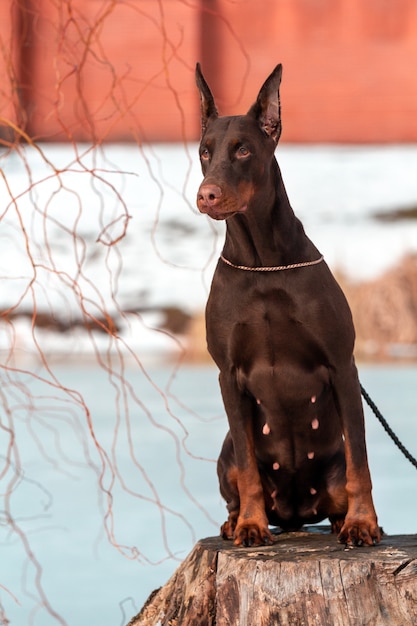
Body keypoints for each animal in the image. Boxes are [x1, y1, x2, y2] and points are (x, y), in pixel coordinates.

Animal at [195, 64, 380, 544]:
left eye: (243, 150)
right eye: (204, 152)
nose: (207, 194)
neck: (263, 263)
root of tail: (297, 513)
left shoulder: (342, 364)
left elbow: (360, 461)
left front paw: (362, 522)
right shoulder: (227, 375)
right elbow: (248, 469)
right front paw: (251, 525)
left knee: (340, 482)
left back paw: (341, 520)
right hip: (225, 450)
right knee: (237, 474)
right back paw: (233, 522)